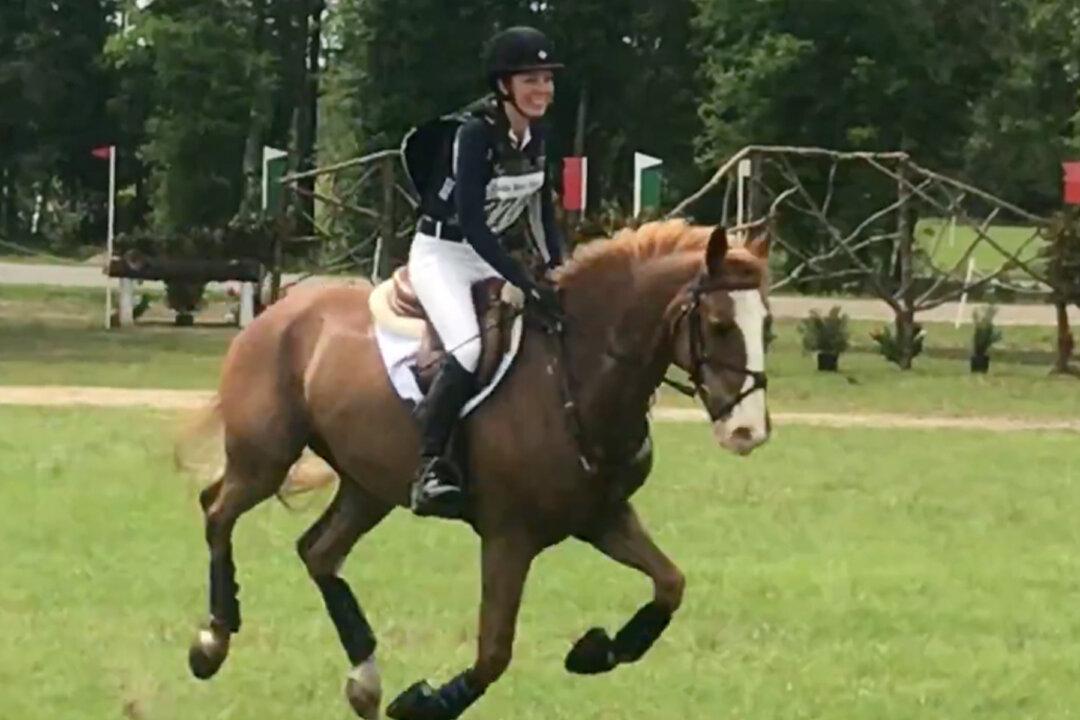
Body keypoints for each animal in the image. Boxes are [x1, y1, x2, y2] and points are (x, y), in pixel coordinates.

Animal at [181, 219, 772, 720]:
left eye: (766, 325)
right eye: (719, 325)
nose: (748, 432)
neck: (574, 376)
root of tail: (277, 311)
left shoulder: (601, 518)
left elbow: (670, 584)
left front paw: (595, 651)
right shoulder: (509, 536)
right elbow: (493, 654)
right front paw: (423, 703)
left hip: (370, 486)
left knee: (318, 552)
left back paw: (364, 679)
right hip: (265, 459)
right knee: (217, 511)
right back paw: (213, 641)